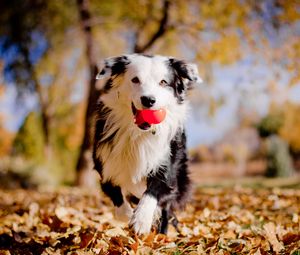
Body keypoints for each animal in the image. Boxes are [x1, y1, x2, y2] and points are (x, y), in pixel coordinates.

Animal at [92, 54, 203, 235]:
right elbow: (117, 197)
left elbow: (152, 192)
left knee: (166, 210)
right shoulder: (105, 164)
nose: (148, 100)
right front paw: (128, 213)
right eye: (135, 80)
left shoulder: (167, 167)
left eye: (163, 82)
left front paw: (141, 220)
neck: (139, 133)